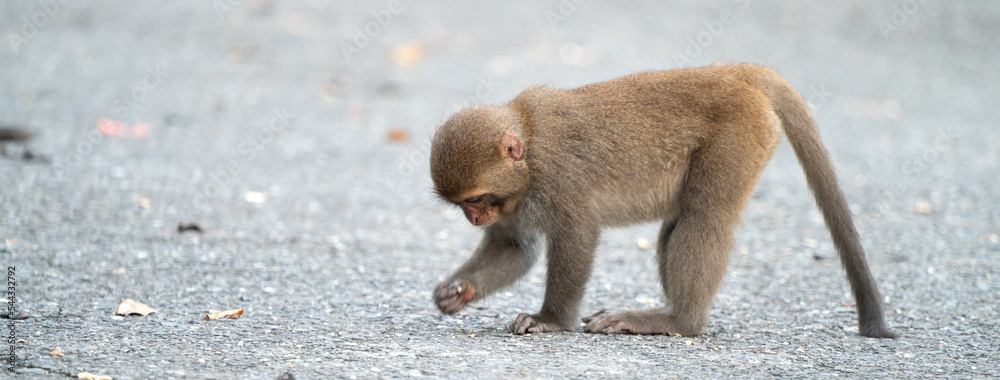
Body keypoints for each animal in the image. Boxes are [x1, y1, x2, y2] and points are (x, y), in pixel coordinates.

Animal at [430, 63, 900, 338]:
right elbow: (513, 246)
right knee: (679, 223)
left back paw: (679, 323)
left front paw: (550, 320)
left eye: (478, 198)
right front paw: (458, 291)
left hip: (740, 132)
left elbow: (577, 235)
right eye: (464, 204)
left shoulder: (558, 177)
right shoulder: (517, 202)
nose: (474, 218)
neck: (527, 155)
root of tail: (733, 73)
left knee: (704, 217)